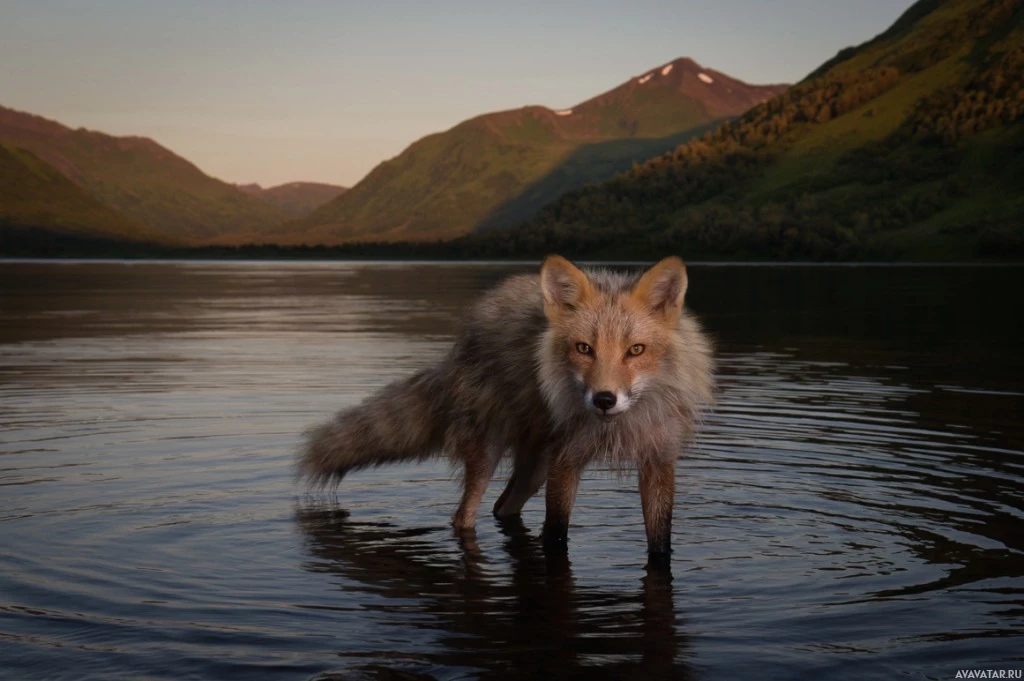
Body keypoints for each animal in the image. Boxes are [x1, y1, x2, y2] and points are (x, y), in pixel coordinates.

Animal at [296, 254, 712, 557]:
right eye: (584, 348)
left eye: (636, 350)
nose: (605, 399)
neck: (617, 429)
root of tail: (466, 335)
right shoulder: (566, 461)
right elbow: (555, 536)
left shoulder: (657, 460)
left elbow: (660, 545)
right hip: (492, 455)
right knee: (464, 516)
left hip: (535, 469)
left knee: (502, 506)